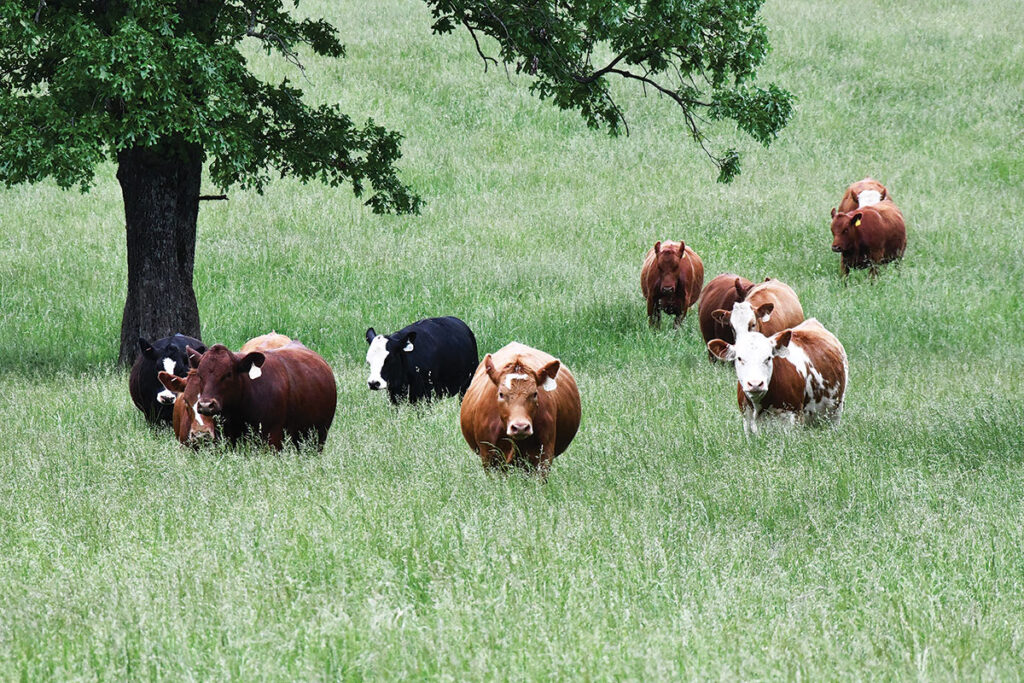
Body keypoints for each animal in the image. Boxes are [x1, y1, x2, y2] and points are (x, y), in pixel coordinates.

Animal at [708, 307, 847, 435]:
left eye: (768, 358)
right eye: (739, 358)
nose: (755, 384)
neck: (760, 406)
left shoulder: (794, 420)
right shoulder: (747, 422)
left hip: (836, 410)